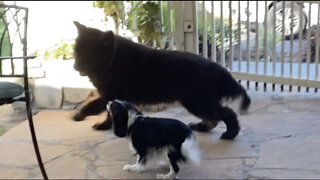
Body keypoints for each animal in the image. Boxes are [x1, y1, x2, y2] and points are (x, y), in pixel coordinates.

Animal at [72, 21, 250, 139]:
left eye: (89, 54)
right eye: (76, 51)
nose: (74, 66)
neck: (112, 59)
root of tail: (218, 68)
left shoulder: (111, 95)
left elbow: (93, 105)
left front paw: (80, 114)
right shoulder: (111, 97)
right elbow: (108, 113)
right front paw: (105, 125)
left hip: (197, 101)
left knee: (226, 113)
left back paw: (230, 133)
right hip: (197, 102)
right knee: (215, 117)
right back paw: (202, 127)